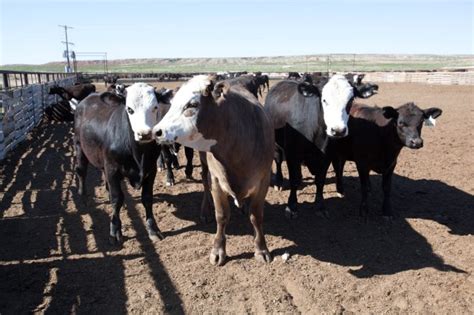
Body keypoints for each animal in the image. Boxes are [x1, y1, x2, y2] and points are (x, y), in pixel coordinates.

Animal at [74, 83, 170, 244]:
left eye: (155, 107)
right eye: (129, 109)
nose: (144, 134)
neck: (139, 154)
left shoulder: (151, 170)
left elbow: (147, 198)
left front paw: (153, 228)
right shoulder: (113, 169)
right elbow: (117, 198)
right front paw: (115, 230)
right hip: (79, 146)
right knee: (81, 171)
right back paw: (82, 198)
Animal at [264, 74, 380, 218]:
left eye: (350, 100)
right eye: (324, 100)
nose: (338, 130)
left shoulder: (326, 156)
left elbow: (320, 180)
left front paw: (320, 206)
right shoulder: (292, 154)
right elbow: (293, 180)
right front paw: (291, 207)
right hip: (276, 145)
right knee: (278, 160)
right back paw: (279, 182)